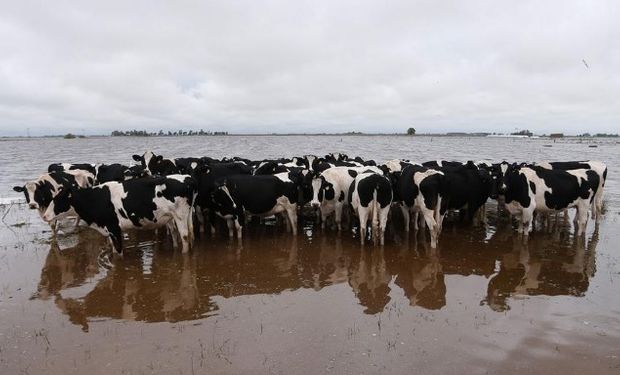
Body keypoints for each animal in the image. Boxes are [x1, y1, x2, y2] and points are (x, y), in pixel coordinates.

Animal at [42, 177, 196, 254]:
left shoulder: (113, 227)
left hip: (180, 216)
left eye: (57, 200)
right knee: (183, 234)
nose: (44, 216)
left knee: (185, 236)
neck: (95, 198)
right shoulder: (111, 230)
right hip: (179, 217)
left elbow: (118, 251)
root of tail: (188, 180)